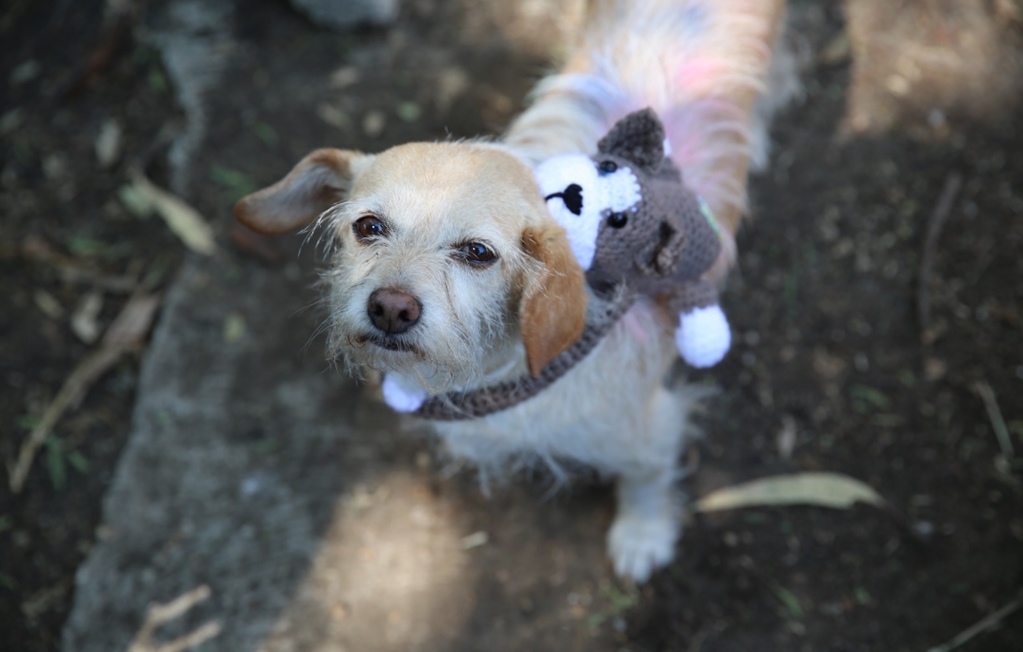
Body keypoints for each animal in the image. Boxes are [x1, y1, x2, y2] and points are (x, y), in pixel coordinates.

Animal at [237, 0, 789, 581]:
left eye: (478, 252)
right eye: (368, 227)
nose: (390, 309)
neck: (503, 369)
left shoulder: (646, 426)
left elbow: (647, 476)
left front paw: (643, 534)